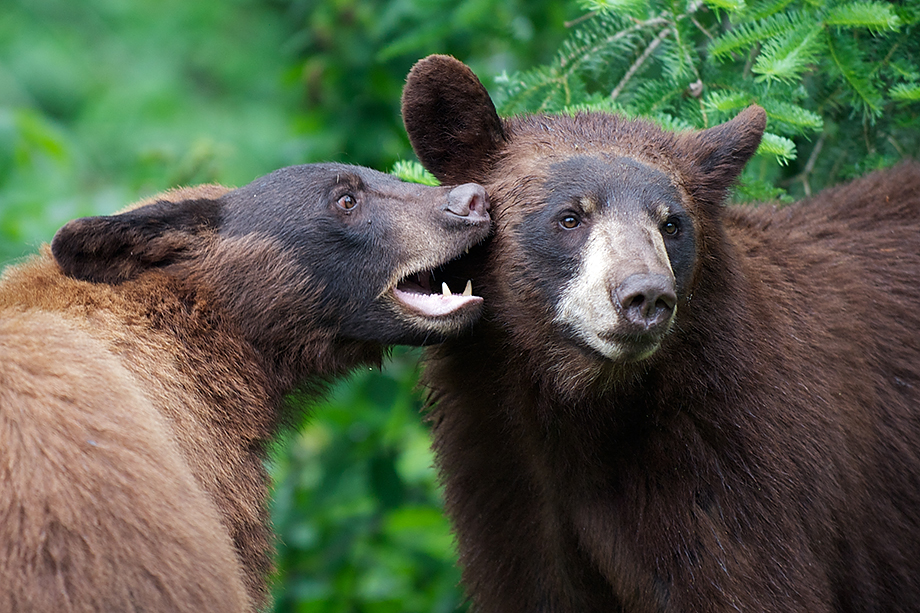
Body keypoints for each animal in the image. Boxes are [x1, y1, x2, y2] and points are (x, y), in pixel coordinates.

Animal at [404, 53, 920, 612]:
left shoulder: (734, 471)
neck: (580, 416)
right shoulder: (505, 483)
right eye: (570, 217)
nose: (647, 296)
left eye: (672, 224)